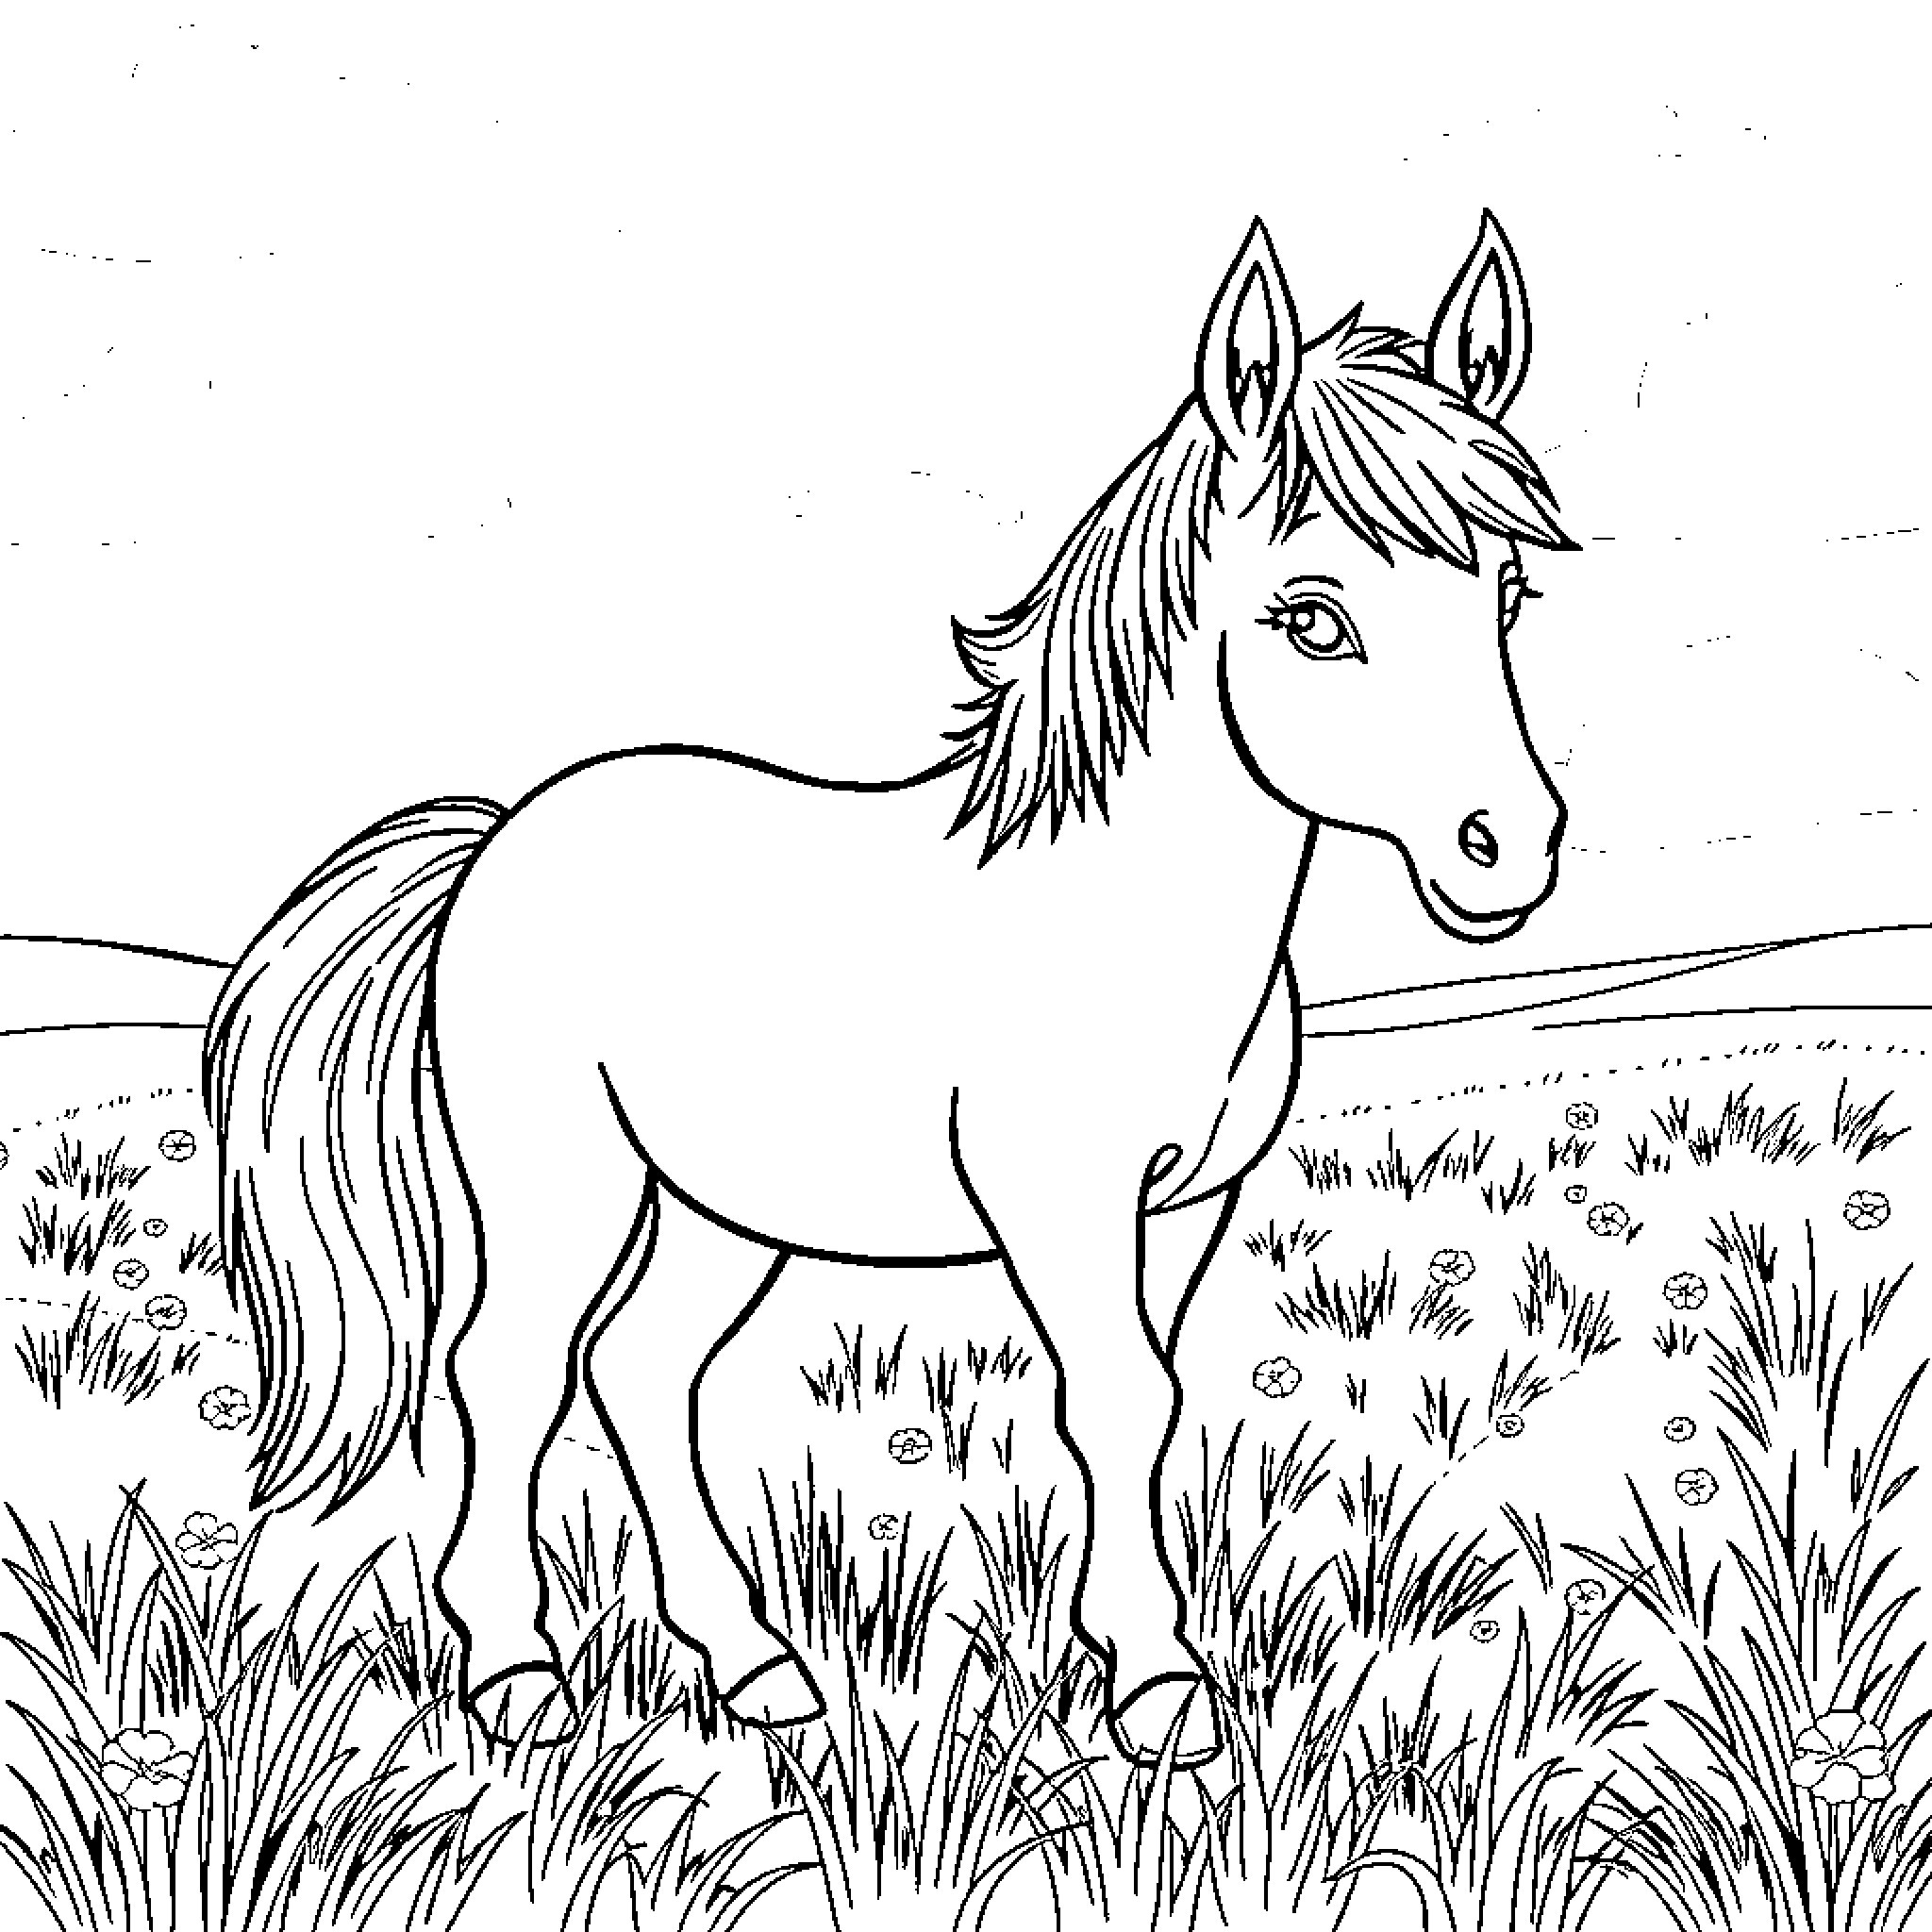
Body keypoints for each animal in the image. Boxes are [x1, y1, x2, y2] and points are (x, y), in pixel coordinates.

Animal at [204, 209, 1575, 1770]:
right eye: (1312, 618)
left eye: (1510, 593)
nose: (1511, 847)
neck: (1128, 918)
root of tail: (502, 834)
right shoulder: (1058, 1202)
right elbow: (1116, 1396)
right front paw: (1159, 1690)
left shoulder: (1186, 1207)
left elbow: (1155, 1403)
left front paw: (1125, 1655)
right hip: (561, 1183)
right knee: (510, 1370)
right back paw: (516, 1675)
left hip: (718, 1205)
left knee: (643, 1371)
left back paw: (758, 1670)